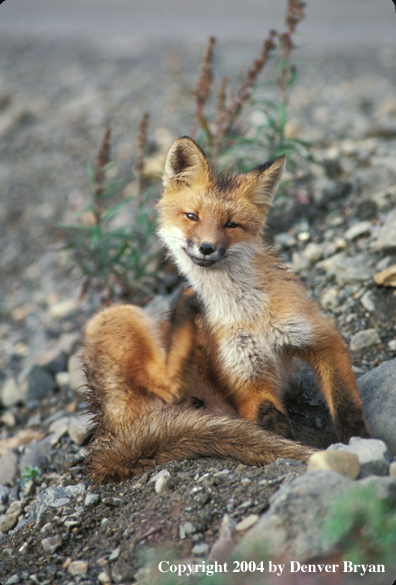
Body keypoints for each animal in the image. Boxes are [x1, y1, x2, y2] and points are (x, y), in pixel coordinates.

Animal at [82, 137, 370, 484]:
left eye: (231, 224)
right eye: (192, 216)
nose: (206, 247)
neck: (250, 314)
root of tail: (106, 436)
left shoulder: (318, 337)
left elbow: (345, 404)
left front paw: (360, 441)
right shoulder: (245, 377)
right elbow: (271, 423)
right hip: (114, 316)